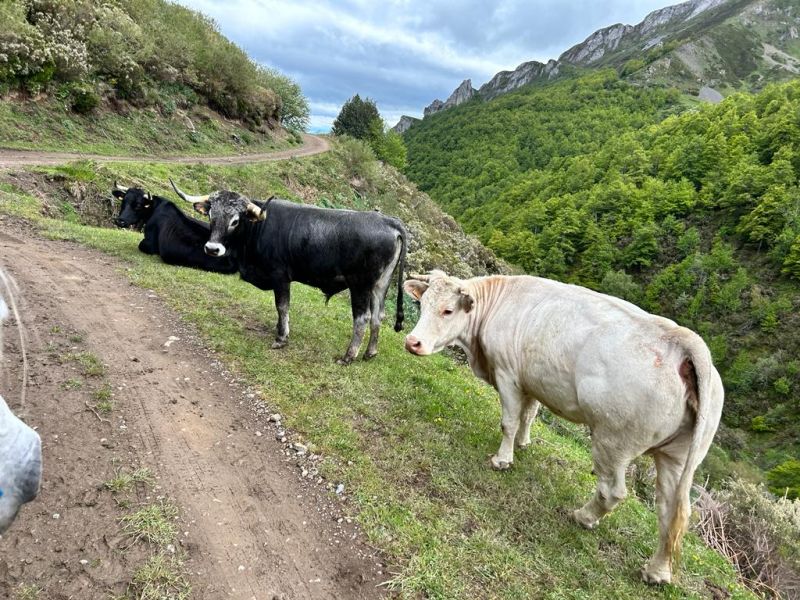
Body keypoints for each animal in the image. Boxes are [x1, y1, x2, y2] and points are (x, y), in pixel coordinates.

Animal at [168, 177, 406, 366]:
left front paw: (281, 338)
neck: (258, 227)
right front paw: (278, 329)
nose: (212, 248)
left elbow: (282, 306)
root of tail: (388, 221)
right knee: (378, 315)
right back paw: (370, 352)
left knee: (362, 318)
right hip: (380, 286)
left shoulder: (280, 276)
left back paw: (348, 356)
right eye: (211, 215)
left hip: (360, 285)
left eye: (235, 221)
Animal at [404, 270, 720, 584]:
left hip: (613, 441)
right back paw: (657, 571)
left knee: (614, 491)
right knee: (671, 510)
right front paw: (523, 443)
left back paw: (583, 517)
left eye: (448, 310)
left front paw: (502, 459)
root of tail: (681, 340)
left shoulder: (507, 374)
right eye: (423, 303)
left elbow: (509, 421)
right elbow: (529, 414)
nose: (412, 342)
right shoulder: (531, 380)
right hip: (677, 456)